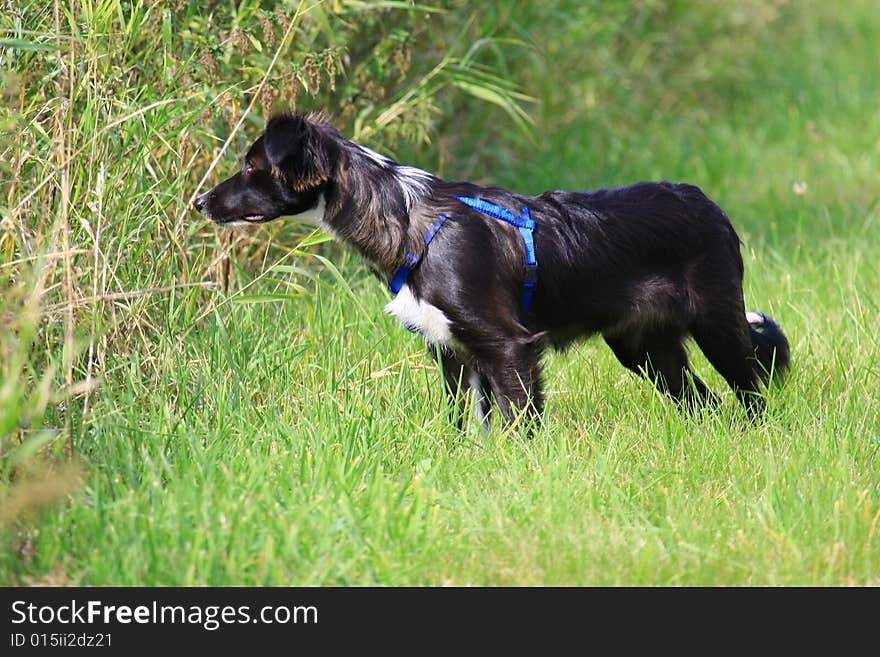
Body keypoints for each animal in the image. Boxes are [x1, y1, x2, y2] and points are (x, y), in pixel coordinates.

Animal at [194, 113, 792, 428]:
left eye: (250, 167)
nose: (199, 202)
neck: (407, 219)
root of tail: (709, 205)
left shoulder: (508, 346)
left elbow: (519, 422)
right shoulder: (453, 351)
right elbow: (466, 424)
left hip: (716, 322)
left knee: (752, 388)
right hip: (643, 346)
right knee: (701, 399)